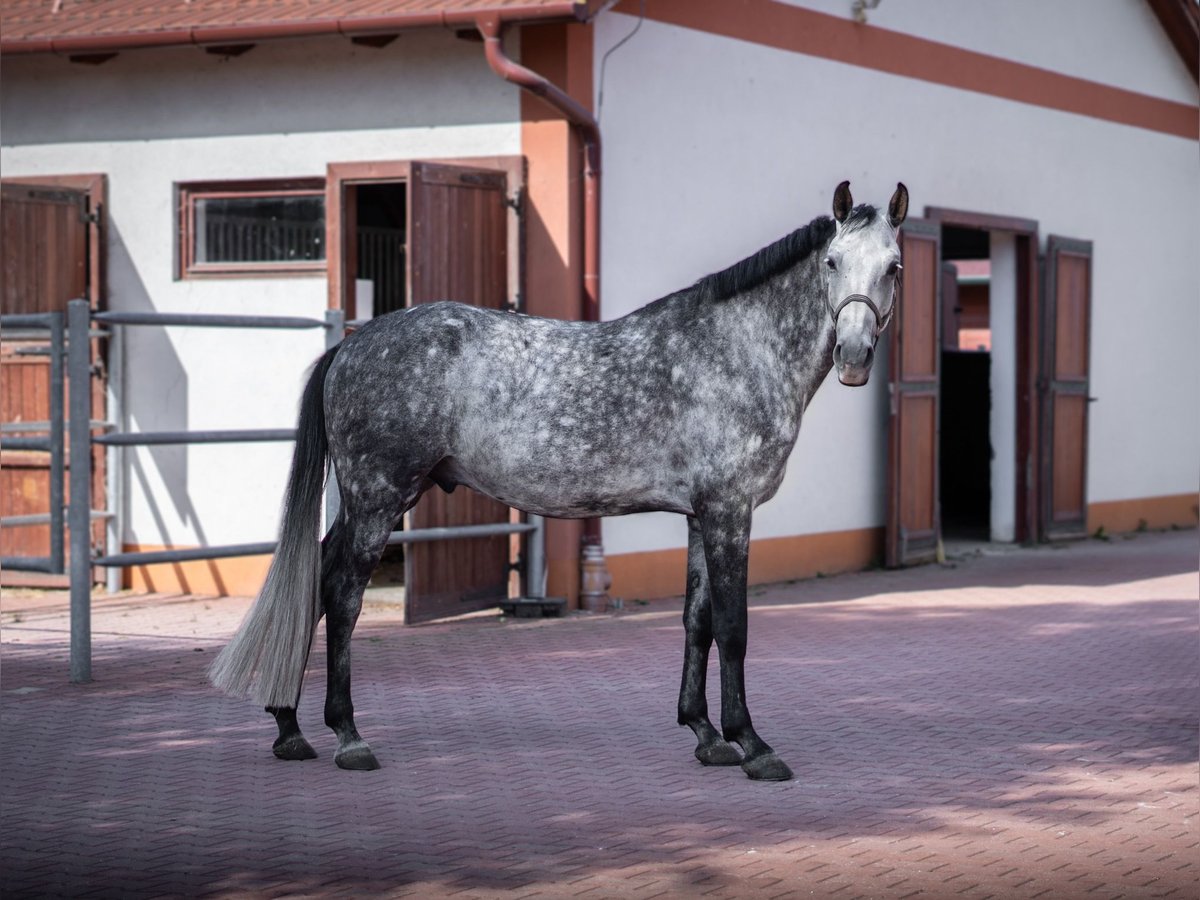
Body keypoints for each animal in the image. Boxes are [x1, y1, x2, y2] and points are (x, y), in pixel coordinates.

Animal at [213, 181, 907, 782]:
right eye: (832, 261)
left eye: (894, 267)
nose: (852, 358)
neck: (735, 351)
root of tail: (352, 347)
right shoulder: (731, 512)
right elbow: (733, 629)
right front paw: (753, 745)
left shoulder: (701, 515)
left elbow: (697, 621)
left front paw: (706, 735)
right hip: (378, 499)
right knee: (342, 594)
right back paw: (348, 737)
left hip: (366, 503)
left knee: (316, 577)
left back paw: (289, 727)